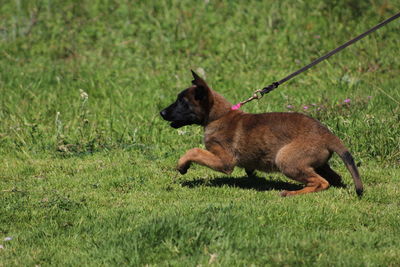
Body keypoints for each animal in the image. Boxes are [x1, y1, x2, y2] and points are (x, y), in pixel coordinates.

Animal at [159, 71, 362, 197]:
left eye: (182, 101)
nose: (161, 112)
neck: (219, 116)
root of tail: (327, 134)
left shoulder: (225, 161)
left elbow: (194, 151)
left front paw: (182, 165)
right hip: (317, 163)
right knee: (334, 178)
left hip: (286, 159)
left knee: (321, 182)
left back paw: (291, 193)